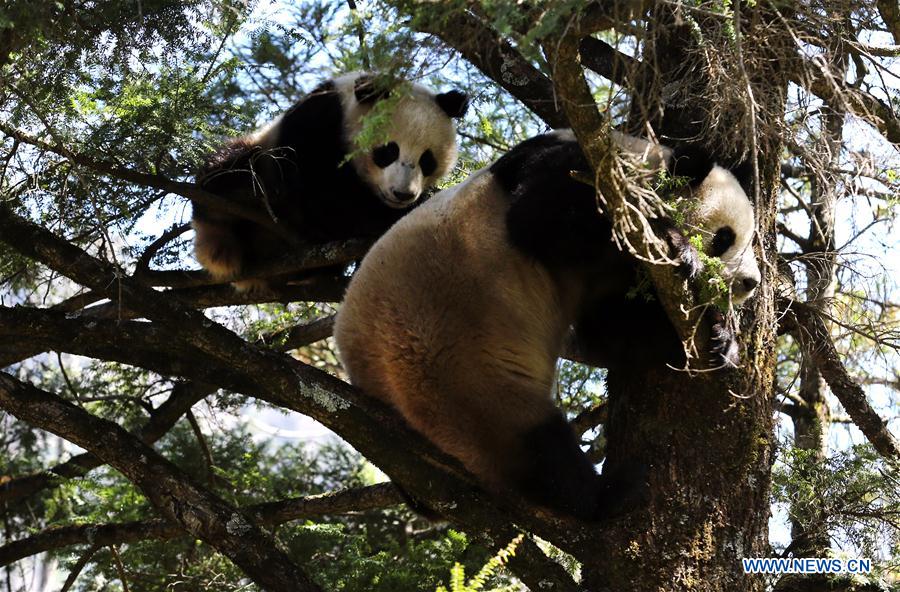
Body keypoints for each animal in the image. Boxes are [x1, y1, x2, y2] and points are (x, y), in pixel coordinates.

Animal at [191, 72, 468, 290]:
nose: (403, 194)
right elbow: (323, 195)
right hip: (257, 159)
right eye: (388, 151)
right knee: (230, 170)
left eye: (427, 160)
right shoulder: (317, 121)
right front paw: (378, 217)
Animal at [333, 129, 761, 520]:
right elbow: (539, 221)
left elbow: (611, 329)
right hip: (455, 371)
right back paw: (611, 494)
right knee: (540, 450)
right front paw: (676, 244)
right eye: (725, 237)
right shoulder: (571, 171)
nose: (749, 283)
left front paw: (720, 337)